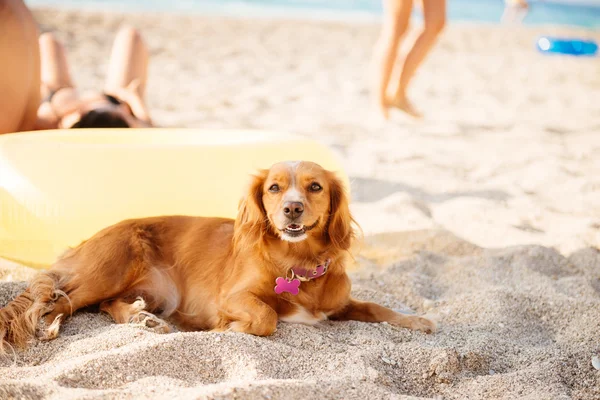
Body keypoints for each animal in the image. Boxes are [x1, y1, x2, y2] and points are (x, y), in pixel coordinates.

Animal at [0, 159, 434, 350]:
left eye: (315, 187)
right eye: (274, 188)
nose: (292, 208)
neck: (297, 265)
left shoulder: (339, 303)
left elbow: (376, 307)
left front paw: (415, 320)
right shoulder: (232, 296)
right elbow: (267, 316)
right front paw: (226, 330)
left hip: (149, 289)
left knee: (103, 304)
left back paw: (141, 318)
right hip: (109, 268)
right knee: (59, 299)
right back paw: (50, 327)